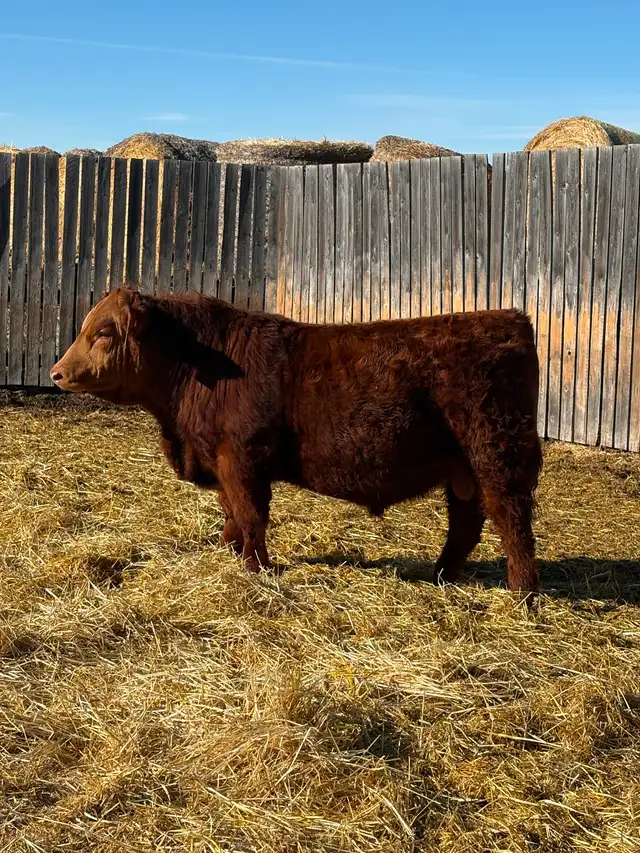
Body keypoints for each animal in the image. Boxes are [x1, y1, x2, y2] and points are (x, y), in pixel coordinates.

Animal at [50, 287, 542, 597]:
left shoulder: (242, 459)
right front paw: (231, 552)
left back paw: (523, 594)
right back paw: (440, 576)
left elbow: (251, 515)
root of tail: (510, 318)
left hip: (497, 455)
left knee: (513, 523)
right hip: (465, 469)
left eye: (104, 332)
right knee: (466, 525)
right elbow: (232, 514)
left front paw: (257, 568)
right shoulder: (222, 461)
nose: (56, 373)